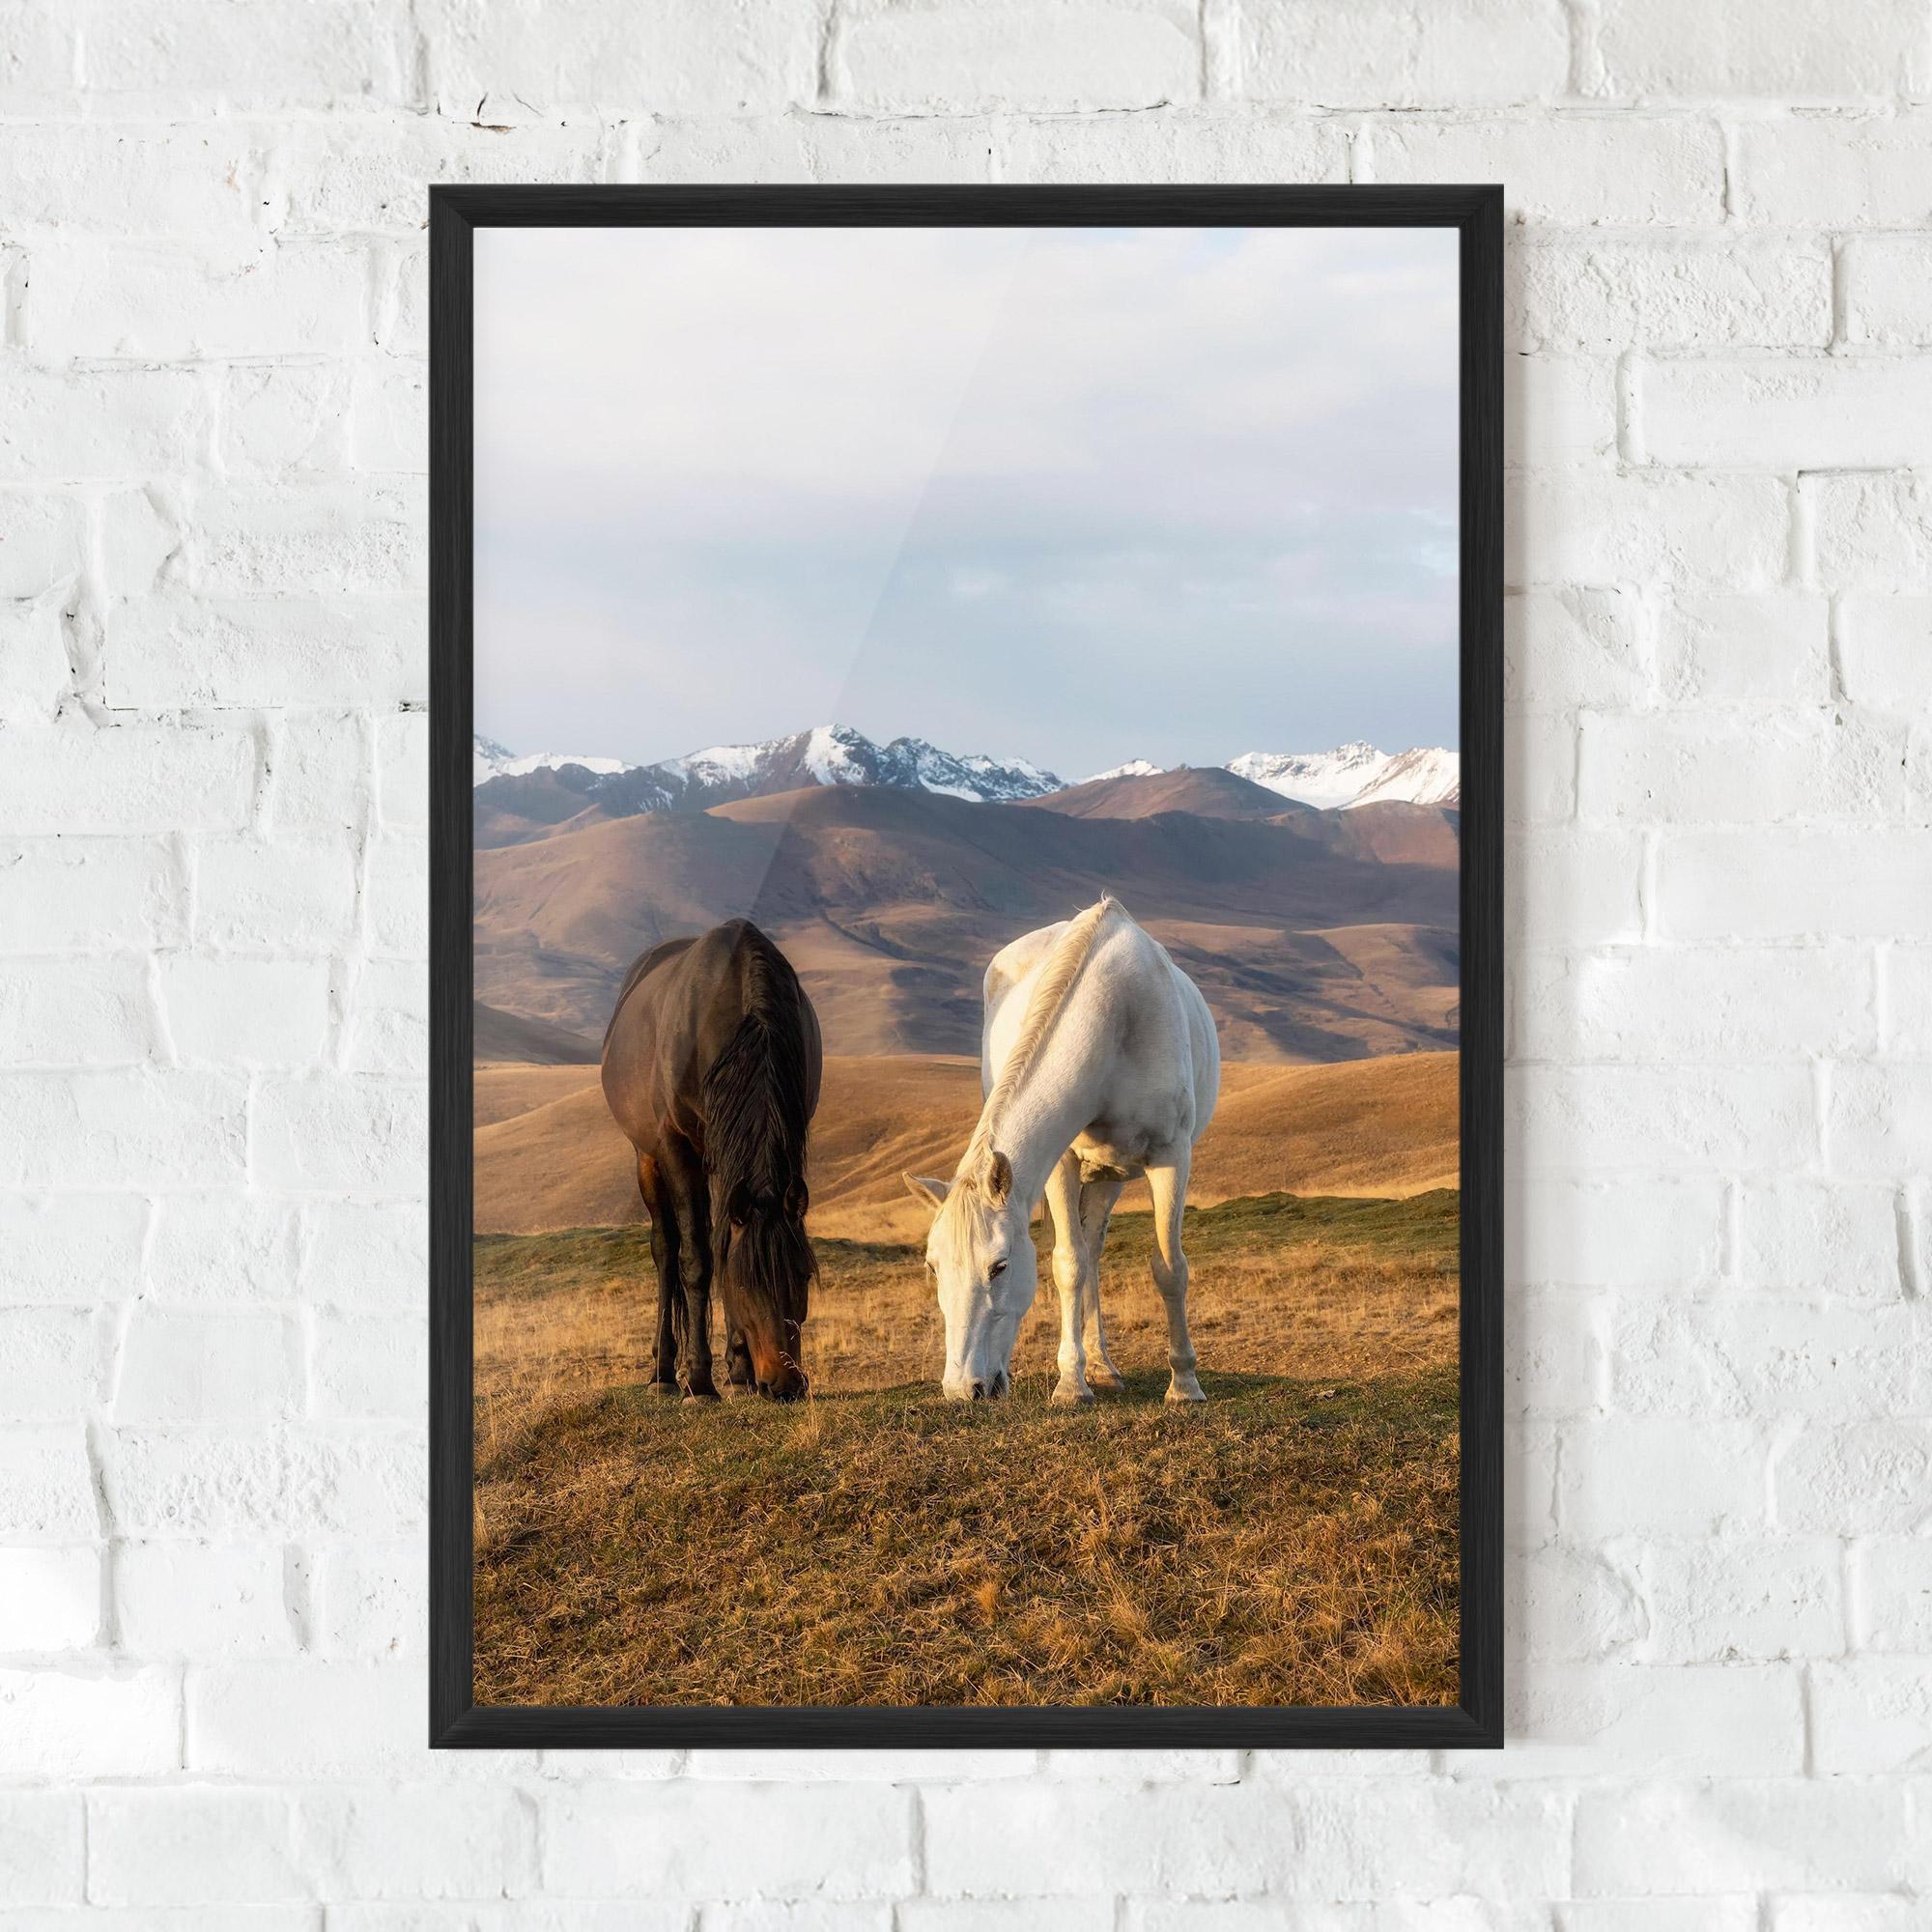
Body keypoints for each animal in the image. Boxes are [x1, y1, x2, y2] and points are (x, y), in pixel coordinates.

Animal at [601, 919, 822, 1402]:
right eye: (745, 1284)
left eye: (802, 1275)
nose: (785, 1385)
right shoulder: (676, 1147)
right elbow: (698, 1260)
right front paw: (700, 1380)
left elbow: (723, 1245)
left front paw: (739, 1371)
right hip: (647, 1158)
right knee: (666, 1250)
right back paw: (665, 1372)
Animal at [903, 896, 1220, 1405]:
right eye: (933, 1267)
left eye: (1000, 1266)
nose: (963, 1389)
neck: (1116, 1015)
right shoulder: (1061, 1164)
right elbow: (1067, 1264)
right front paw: (1071, 1383)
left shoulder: (1171, 1158)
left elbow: (1170, 1267)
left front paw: (1185, 1384)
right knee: (1083, 1255)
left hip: (1112, 1176)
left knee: (1096, 1250)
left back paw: (1108, 1367)